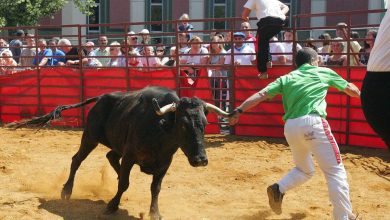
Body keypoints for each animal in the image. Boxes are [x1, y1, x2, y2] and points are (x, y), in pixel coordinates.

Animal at [6, 86, 229, 218]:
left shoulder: (165, 163)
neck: (160, 128)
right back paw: (66, 191)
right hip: (90, 137)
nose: (200, 160)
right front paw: (112, 205)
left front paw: (154, 213)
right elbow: (124, 183)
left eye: (205, 124)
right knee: (77, 160)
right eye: (183, 125)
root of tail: (102, 97)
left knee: (111, 156)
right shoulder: (130, 155)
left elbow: (155, 188)